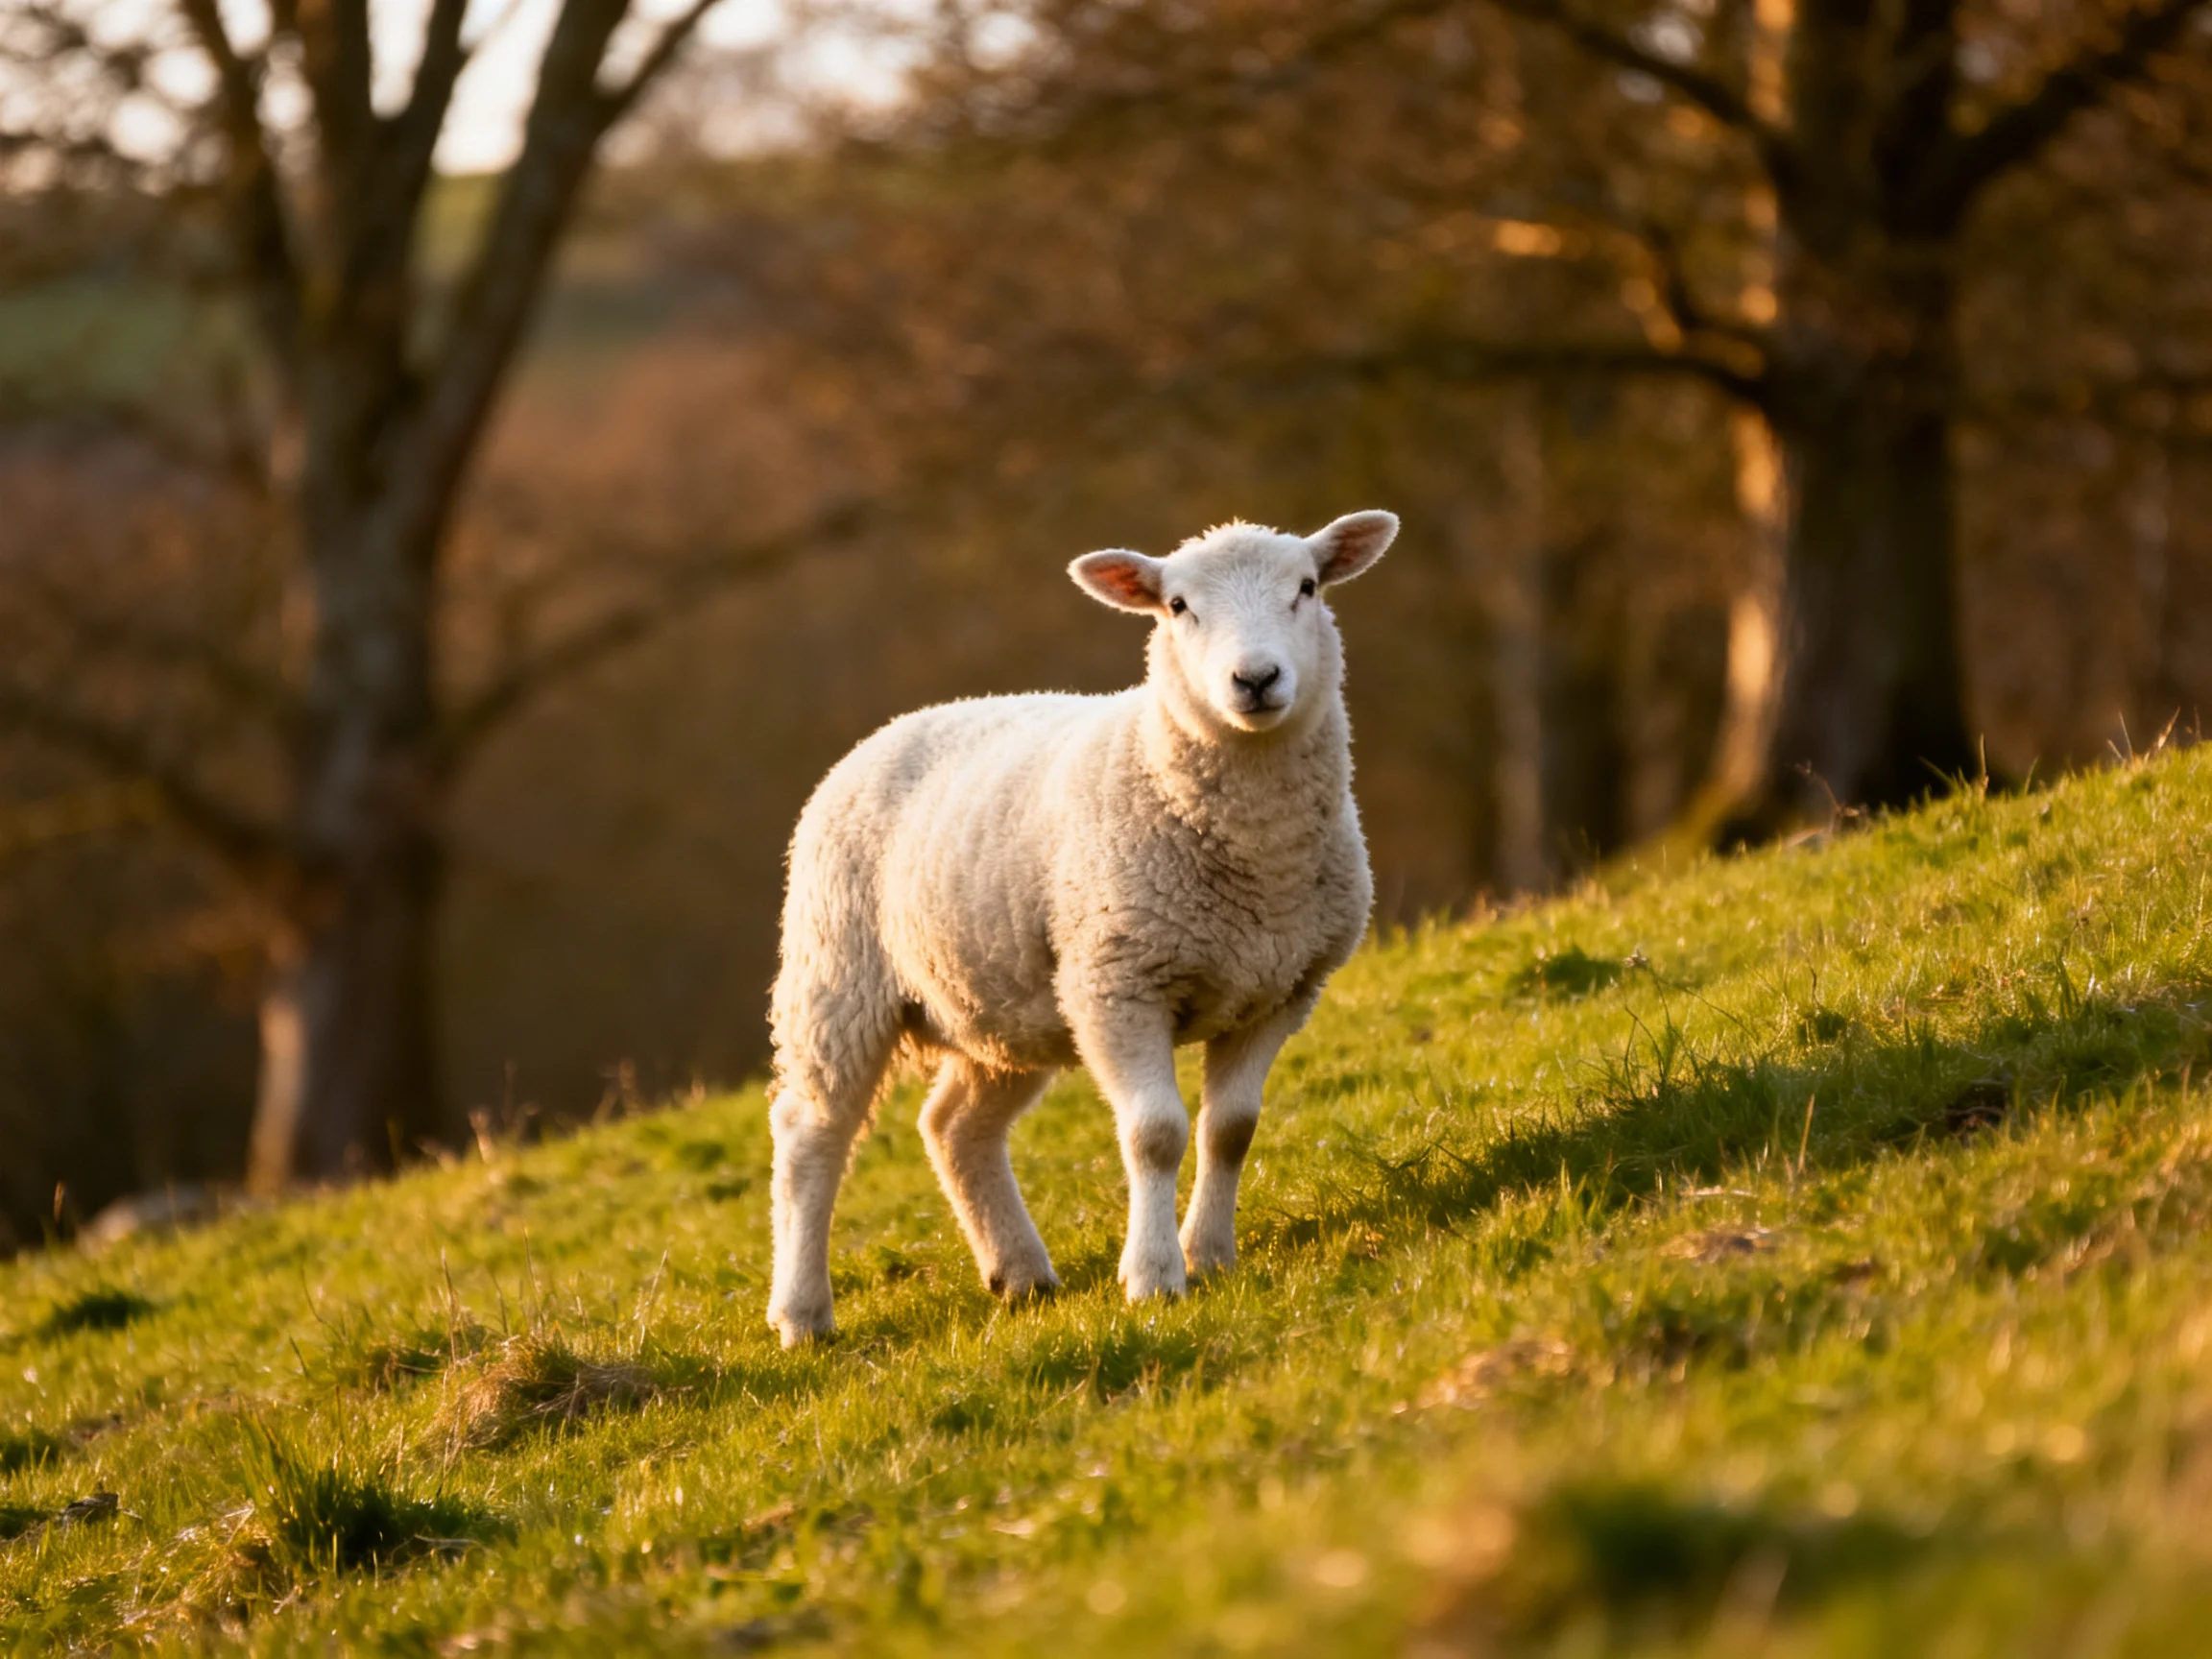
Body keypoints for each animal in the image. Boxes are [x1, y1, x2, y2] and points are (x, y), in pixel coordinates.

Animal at [765, 510, 1398, 1346]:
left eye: (1307, 588)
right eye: (1177, 607)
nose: (1256, 680)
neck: (1258, 857)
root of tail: (893, 726)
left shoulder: (1281, 991)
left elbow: (1230, 1129)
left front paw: (1211, 1256)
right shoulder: (1117, 984)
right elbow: (1156, 1133)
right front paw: (1154, 1278)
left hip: (1002, 1003)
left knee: (954, 1126)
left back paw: (1020, 1274)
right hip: (837, 973)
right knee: (811, 1133)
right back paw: (803, 1313)